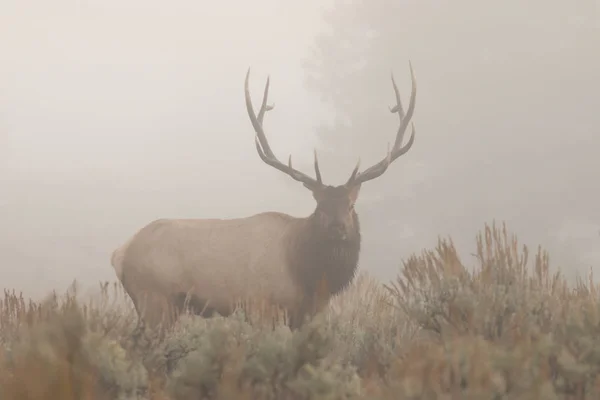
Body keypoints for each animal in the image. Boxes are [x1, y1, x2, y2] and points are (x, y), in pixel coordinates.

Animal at [110, 63, 414, 332]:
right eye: (320, 206)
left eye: (350, 206)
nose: (337, 228)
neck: (306, 275)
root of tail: (120, 253)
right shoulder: (261, 305)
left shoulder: (308, 313)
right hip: (155, 299)